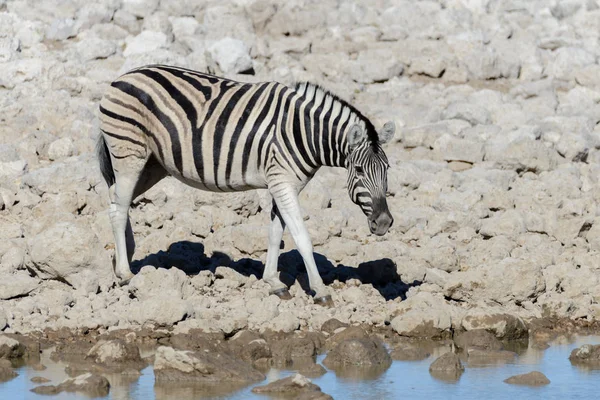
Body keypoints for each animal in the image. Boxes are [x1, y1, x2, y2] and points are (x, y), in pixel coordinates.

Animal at [96, 64, 396, 304]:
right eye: (359, 170)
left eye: (387, 169)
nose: (383, 223)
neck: (304, 133)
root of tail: (123, 76)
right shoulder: (282, 183)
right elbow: (302, 237)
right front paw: (320, 290)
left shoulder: (281, 183)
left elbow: (276, 233)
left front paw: (274, 283)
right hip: (130, 155)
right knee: (118, 208)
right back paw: (125, 273)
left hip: (152, 165)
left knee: (116, 200)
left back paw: (124, 257)